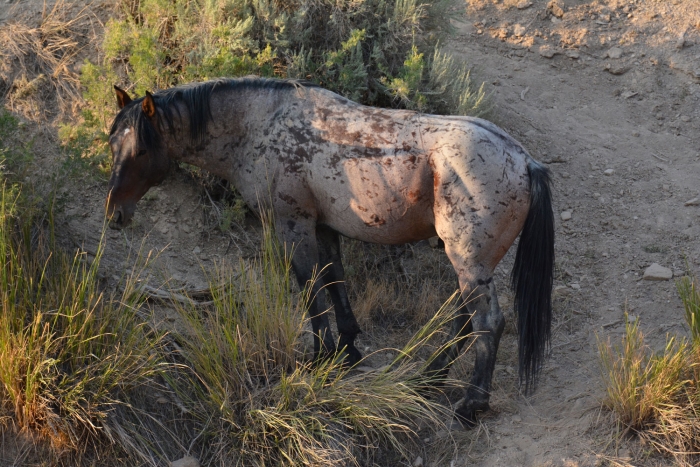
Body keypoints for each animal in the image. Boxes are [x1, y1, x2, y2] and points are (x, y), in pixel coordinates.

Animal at [105, 77, 552, 428]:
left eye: (141, 150)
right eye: (113, 145)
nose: (115, 213)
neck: (259, 125)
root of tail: (524, 162)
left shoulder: (293, 225)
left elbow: (309, 288)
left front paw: (320, 356)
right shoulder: (324, 227)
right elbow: (335, 282)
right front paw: (348, 349)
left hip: (468, 261)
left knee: (488, 322)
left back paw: (470, 405)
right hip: (470, 264)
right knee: (463, 321)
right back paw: (428, 378)